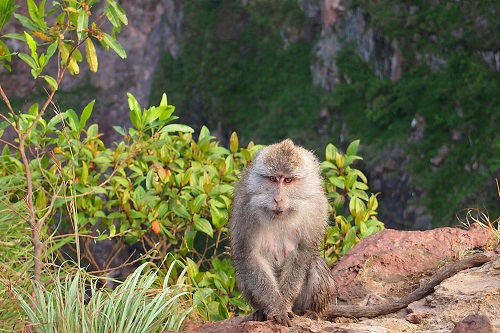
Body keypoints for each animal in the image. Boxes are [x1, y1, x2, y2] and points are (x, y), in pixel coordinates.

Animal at [229, 139, 336, 326]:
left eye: (288, 180)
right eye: (273, 179)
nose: (278, 199)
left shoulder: (317, 207)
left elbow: (303, 253)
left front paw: (284, 305)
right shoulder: (245, 204)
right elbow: (250, 254)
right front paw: (276, 308)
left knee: (315, 263)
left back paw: (312, 312)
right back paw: (260, 312)